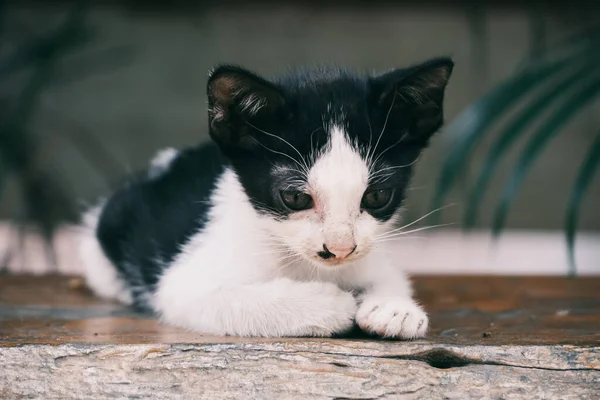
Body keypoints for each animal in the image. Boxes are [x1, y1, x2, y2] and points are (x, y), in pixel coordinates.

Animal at [81, 56, 454, 338]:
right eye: (295, 198)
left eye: (377, 195)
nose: (340, 249)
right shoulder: (184, 282)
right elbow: (228, 299)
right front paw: (331, 304)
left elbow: (388, 274)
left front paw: (394, 307)